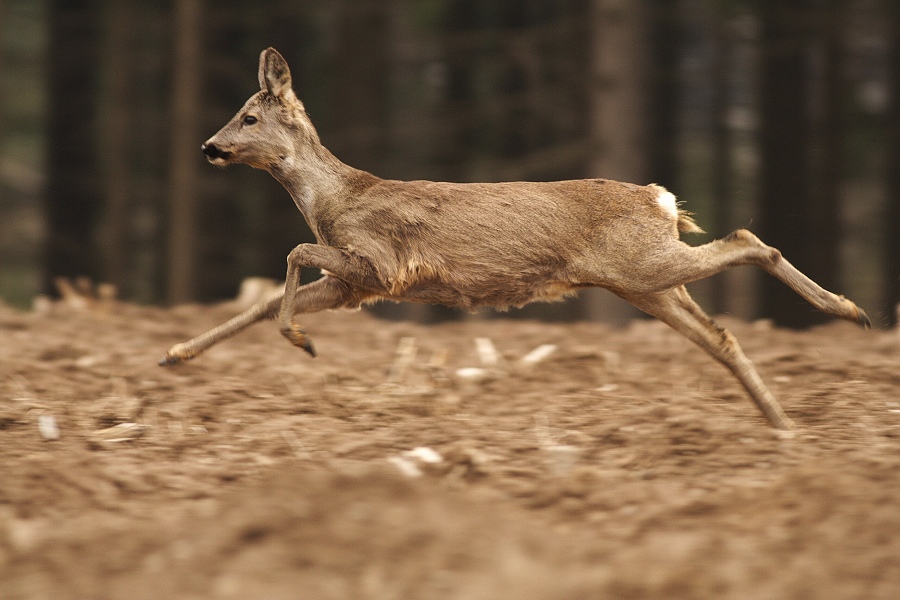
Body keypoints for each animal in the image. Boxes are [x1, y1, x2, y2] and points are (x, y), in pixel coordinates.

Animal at [160, 48, 870, 430]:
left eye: (248, 116)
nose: (209, 147)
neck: (334, 201)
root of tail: (660, 198)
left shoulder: (383, 264)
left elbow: (292, 253)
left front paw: (300, 341)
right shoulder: (351, 286)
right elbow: (261, 297)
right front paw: (175, 354)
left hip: (645, 266)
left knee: (748, 239)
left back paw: (850, 313)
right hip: (644, 284)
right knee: (721, 336)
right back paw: (784, 427)